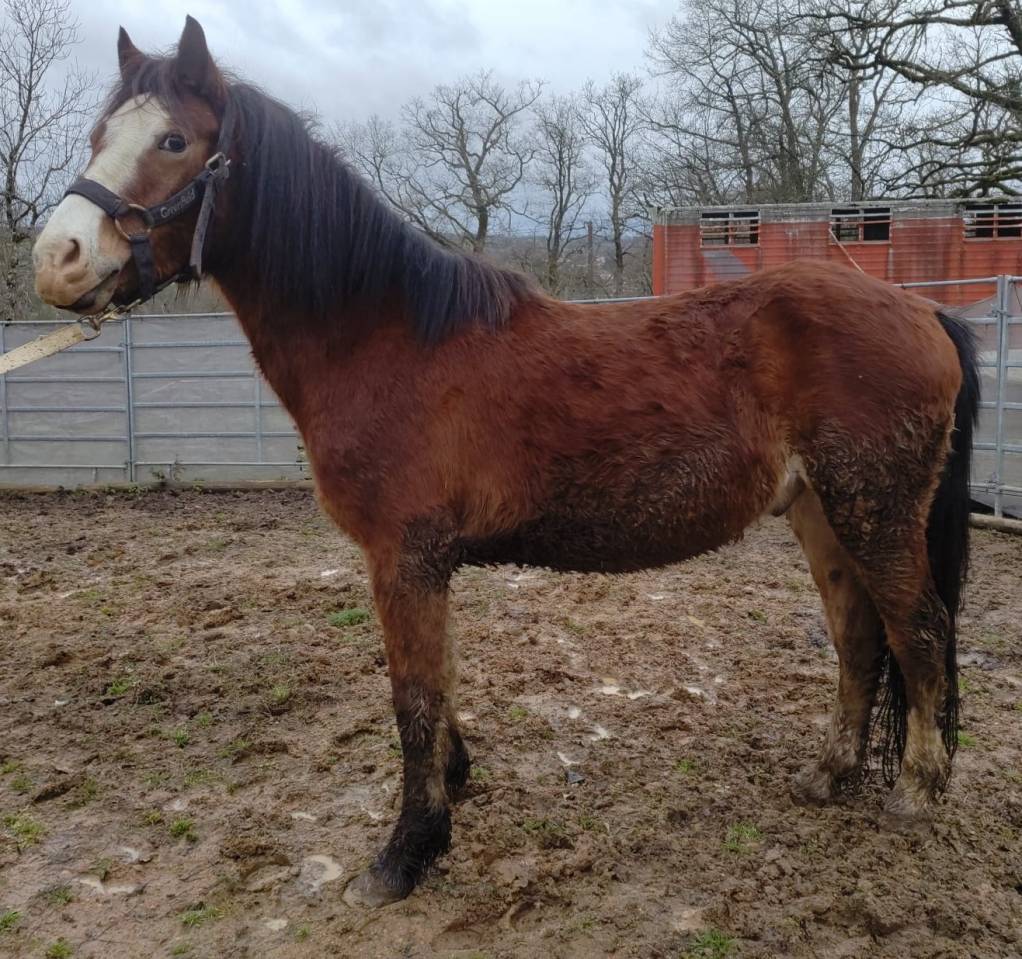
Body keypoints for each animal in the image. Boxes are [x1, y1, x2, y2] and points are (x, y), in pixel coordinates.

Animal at [32, 17, 979, 908]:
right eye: (98, 133)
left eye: (173, 141)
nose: (57, 260)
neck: (386, 336)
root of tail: (923, 311)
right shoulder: (423, 564)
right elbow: (440, 681)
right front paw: (453, 787)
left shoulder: (403, 557)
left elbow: (412, 698)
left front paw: (406, 852)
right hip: (822, 511)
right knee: (859, 636)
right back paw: (830, 773)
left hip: (876, 510)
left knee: (920, 630)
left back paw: (919, 793)